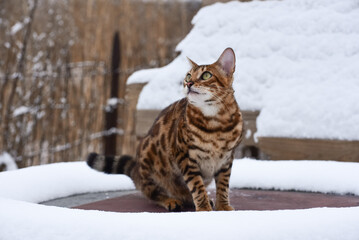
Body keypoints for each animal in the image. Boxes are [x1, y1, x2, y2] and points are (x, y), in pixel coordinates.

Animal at [88, 47, 245, 212]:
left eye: (206, 75)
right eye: (188, 75)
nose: (188, 83)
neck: (216, 123)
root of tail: (136, 169)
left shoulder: (226, 159)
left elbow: (223, 186)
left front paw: (223, 207)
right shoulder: (185, 156)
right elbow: (197, 186)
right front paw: (203, 209)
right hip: (150, 162)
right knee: (153, 193)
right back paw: (170, 200)